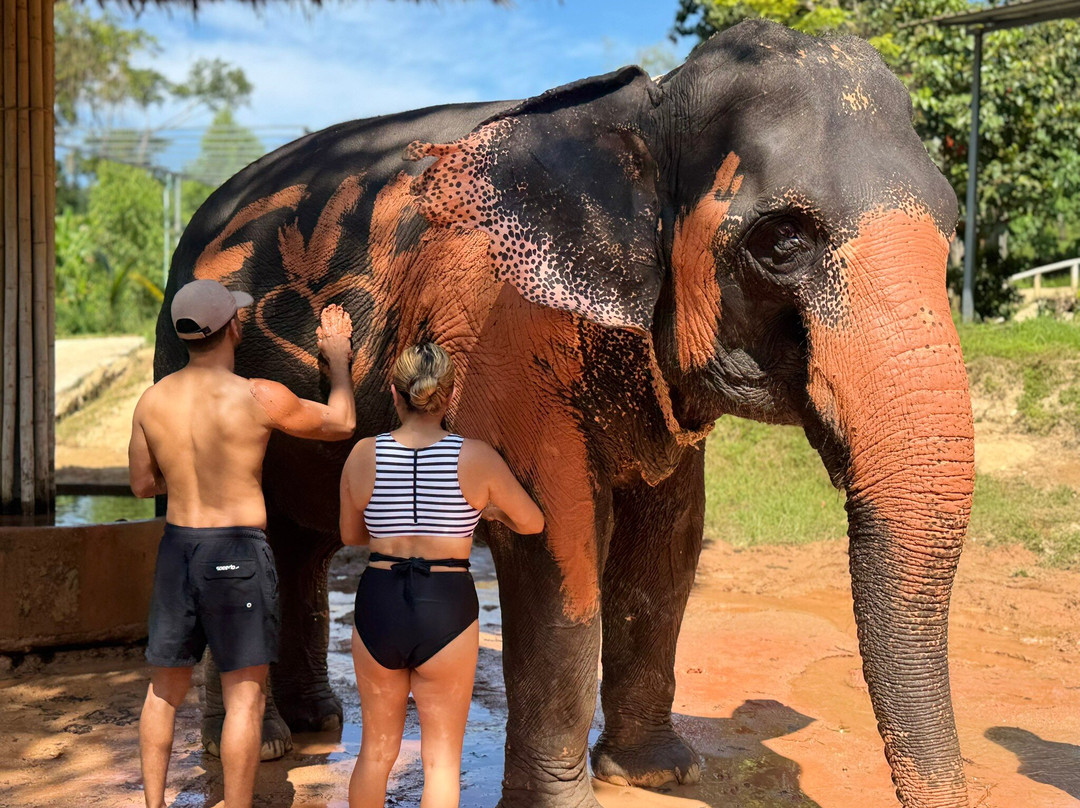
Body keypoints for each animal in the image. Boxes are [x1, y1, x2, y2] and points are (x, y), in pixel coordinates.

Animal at [155, 19, 974, 808]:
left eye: (953, 229)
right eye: (781, 241)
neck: (650, 108)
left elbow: (671, 538)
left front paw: (659, 775)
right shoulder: (507, 328)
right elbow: (559, 532)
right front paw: (569, 799)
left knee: (301, 544)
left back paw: (317, 723)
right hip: (181, 357)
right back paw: (264, 745)